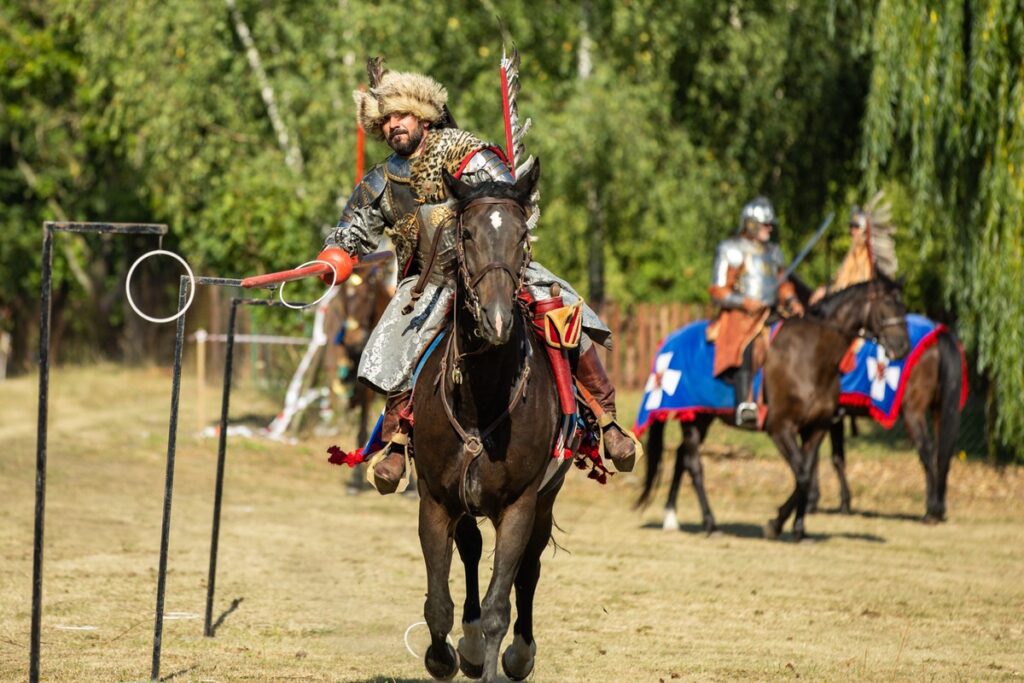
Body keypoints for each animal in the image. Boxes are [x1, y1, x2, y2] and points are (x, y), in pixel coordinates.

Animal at [409, 161, 569, 683]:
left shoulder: (520, 504)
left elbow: (503, 600)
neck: (480, 401)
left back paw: (518, 653)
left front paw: (498, 658)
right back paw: (473, 643)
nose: (498, 320)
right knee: (473, 549)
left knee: (529, 569)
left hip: (545, 498)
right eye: (467, 233)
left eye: (522, 236)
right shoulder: (437, 500)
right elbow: (438, 603)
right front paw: (445, 656)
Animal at [634, 276, 909, 540]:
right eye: (886, 302)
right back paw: (710, 524)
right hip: (693, 418)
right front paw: (776, 524)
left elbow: (806, 472)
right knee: (693, 464)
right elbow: (803, 474)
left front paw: (798, 529)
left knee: (682, 457)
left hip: (702, 418)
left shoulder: (816, 429)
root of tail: (669, 340)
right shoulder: (780, 428)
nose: (902, 347)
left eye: (902, 304)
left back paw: (671, 517)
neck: (813, 356)